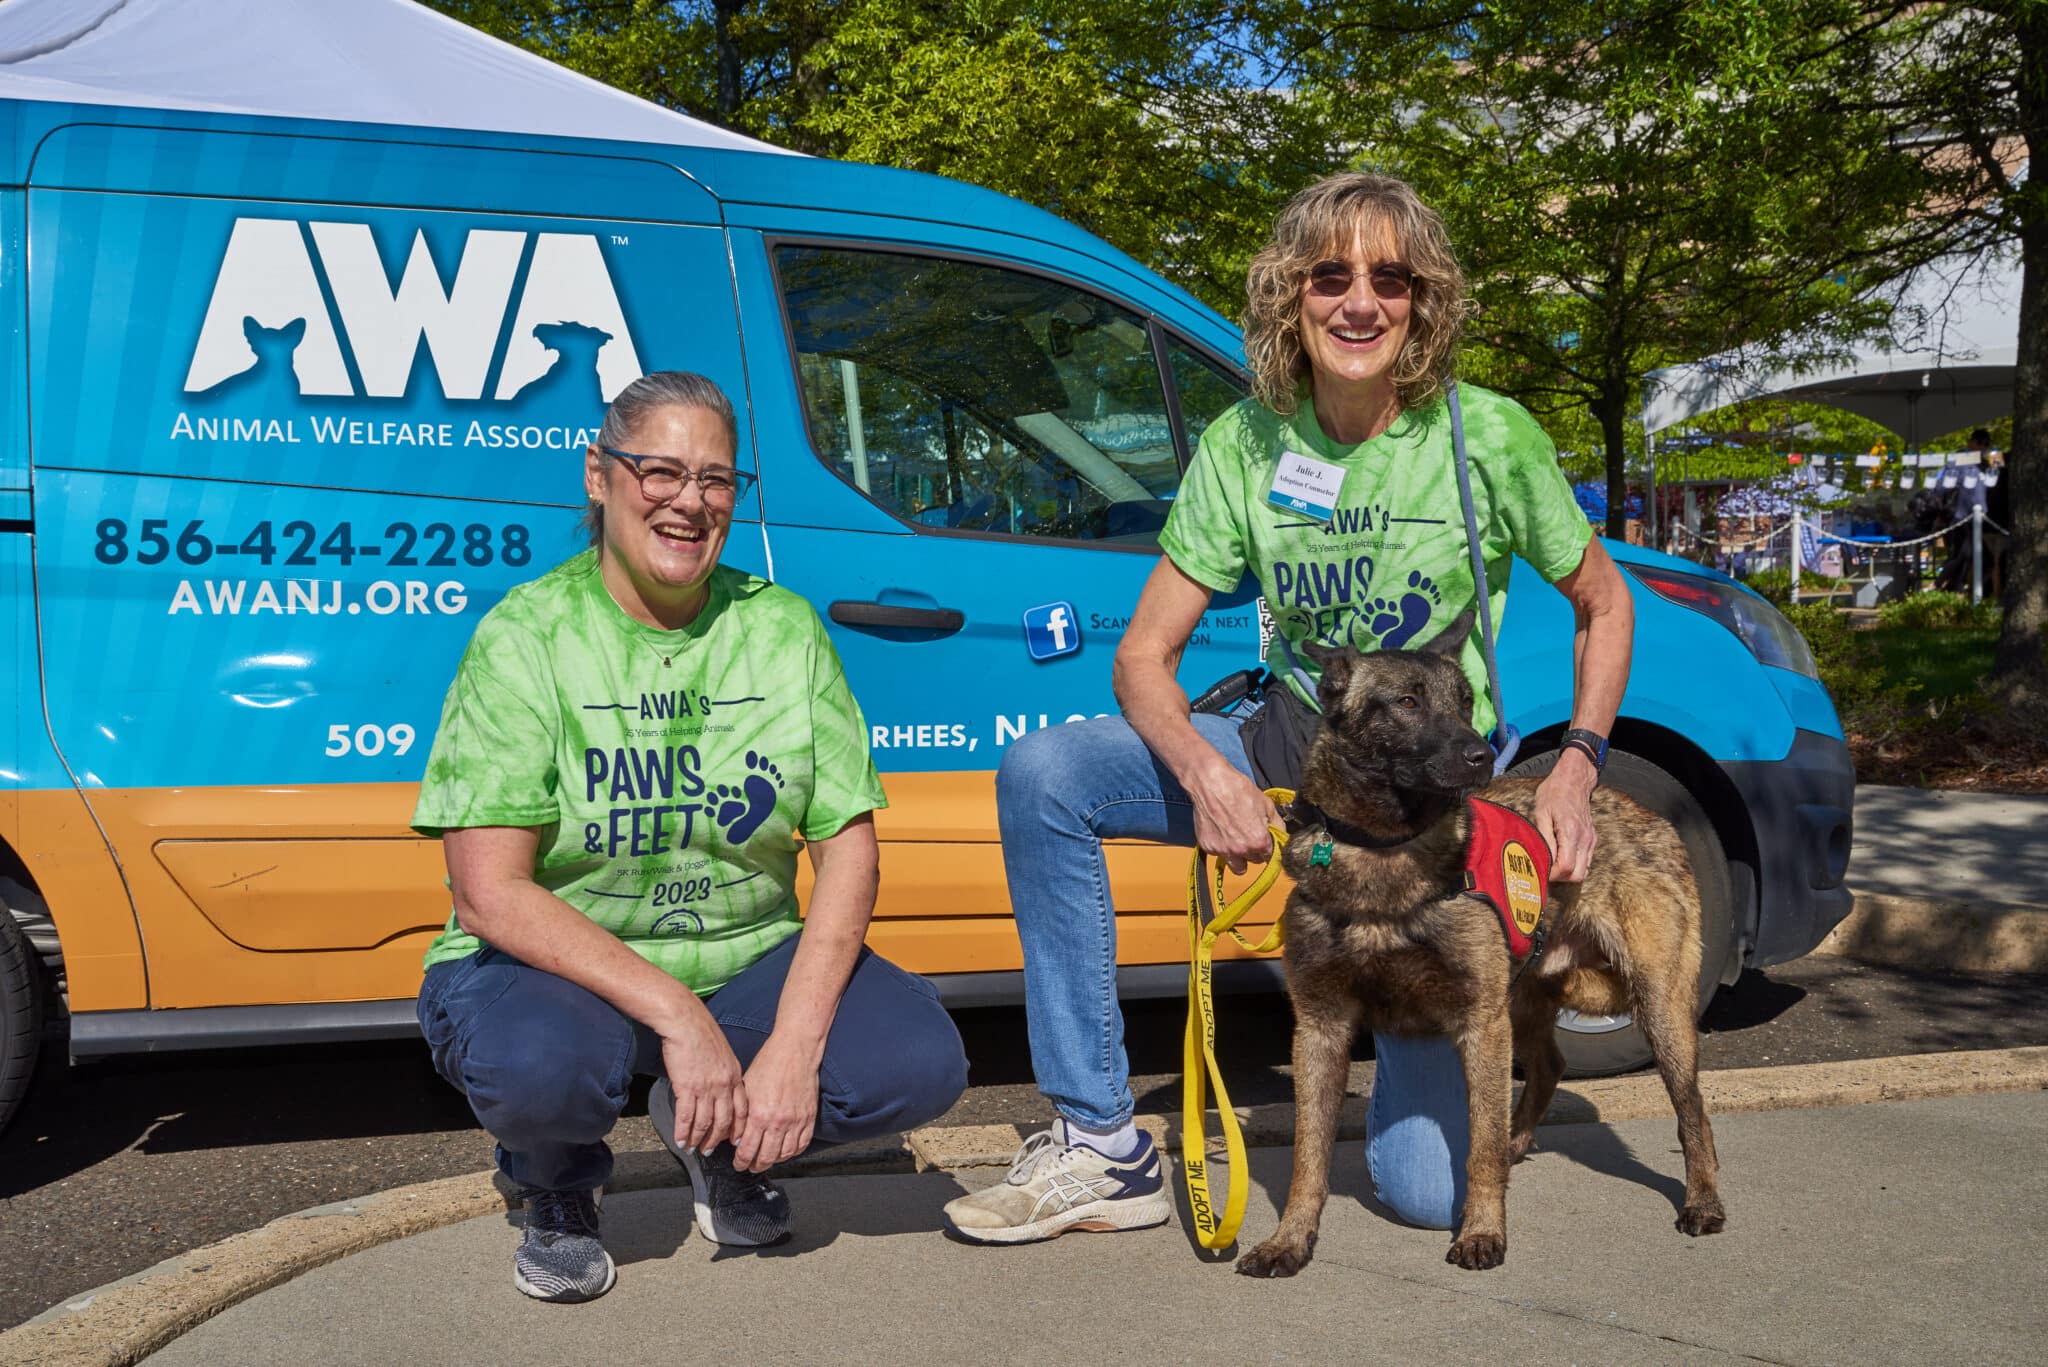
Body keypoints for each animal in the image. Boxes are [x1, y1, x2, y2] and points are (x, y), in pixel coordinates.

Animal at [1236, 614, 1720, 1278]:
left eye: (1466, 702)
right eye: (1407, 703)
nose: (1482, 754)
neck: (1384, 852)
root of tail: (1651, 814)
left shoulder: (1479, 1024)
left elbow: (1478, 1146)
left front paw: (1483, 1230)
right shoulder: (1319, 1029)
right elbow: (1308, 1159)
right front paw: (1290, 1239)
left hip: (1657, 1009)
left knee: (1692, 1110)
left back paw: (1702, 1200)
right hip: (1527, 998)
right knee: (1550, 1067)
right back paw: (1522, 1140)